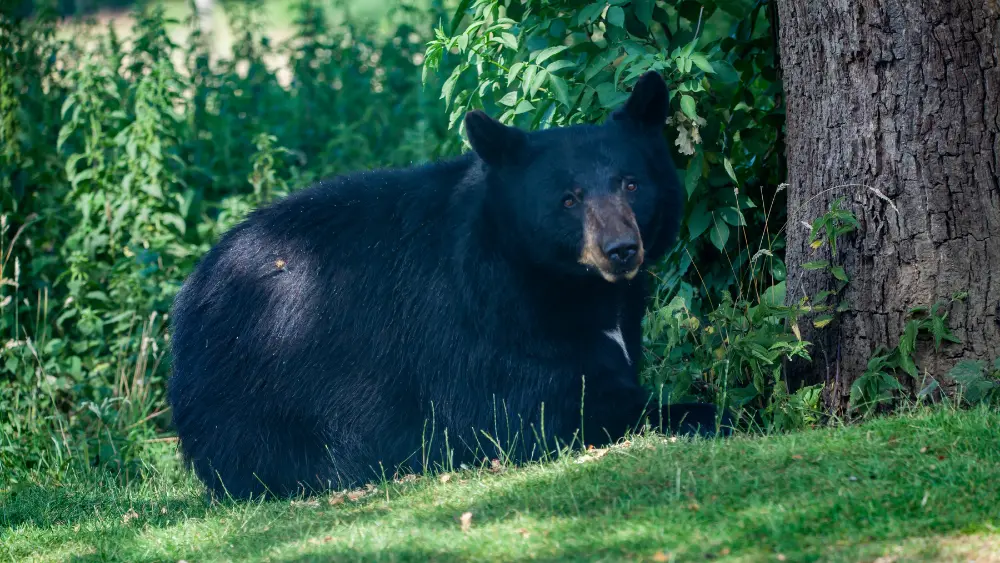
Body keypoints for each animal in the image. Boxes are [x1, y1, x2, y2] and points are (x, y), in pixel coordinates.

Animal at [167, 71, 731, 501]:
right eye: (568, 199)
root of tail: (191, 293)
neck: (569, 285)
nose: (621, 249)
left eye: (631, 183)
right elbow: (549, 409)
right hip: (262, 380)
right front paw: (709, 413)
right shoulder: (487, 321)